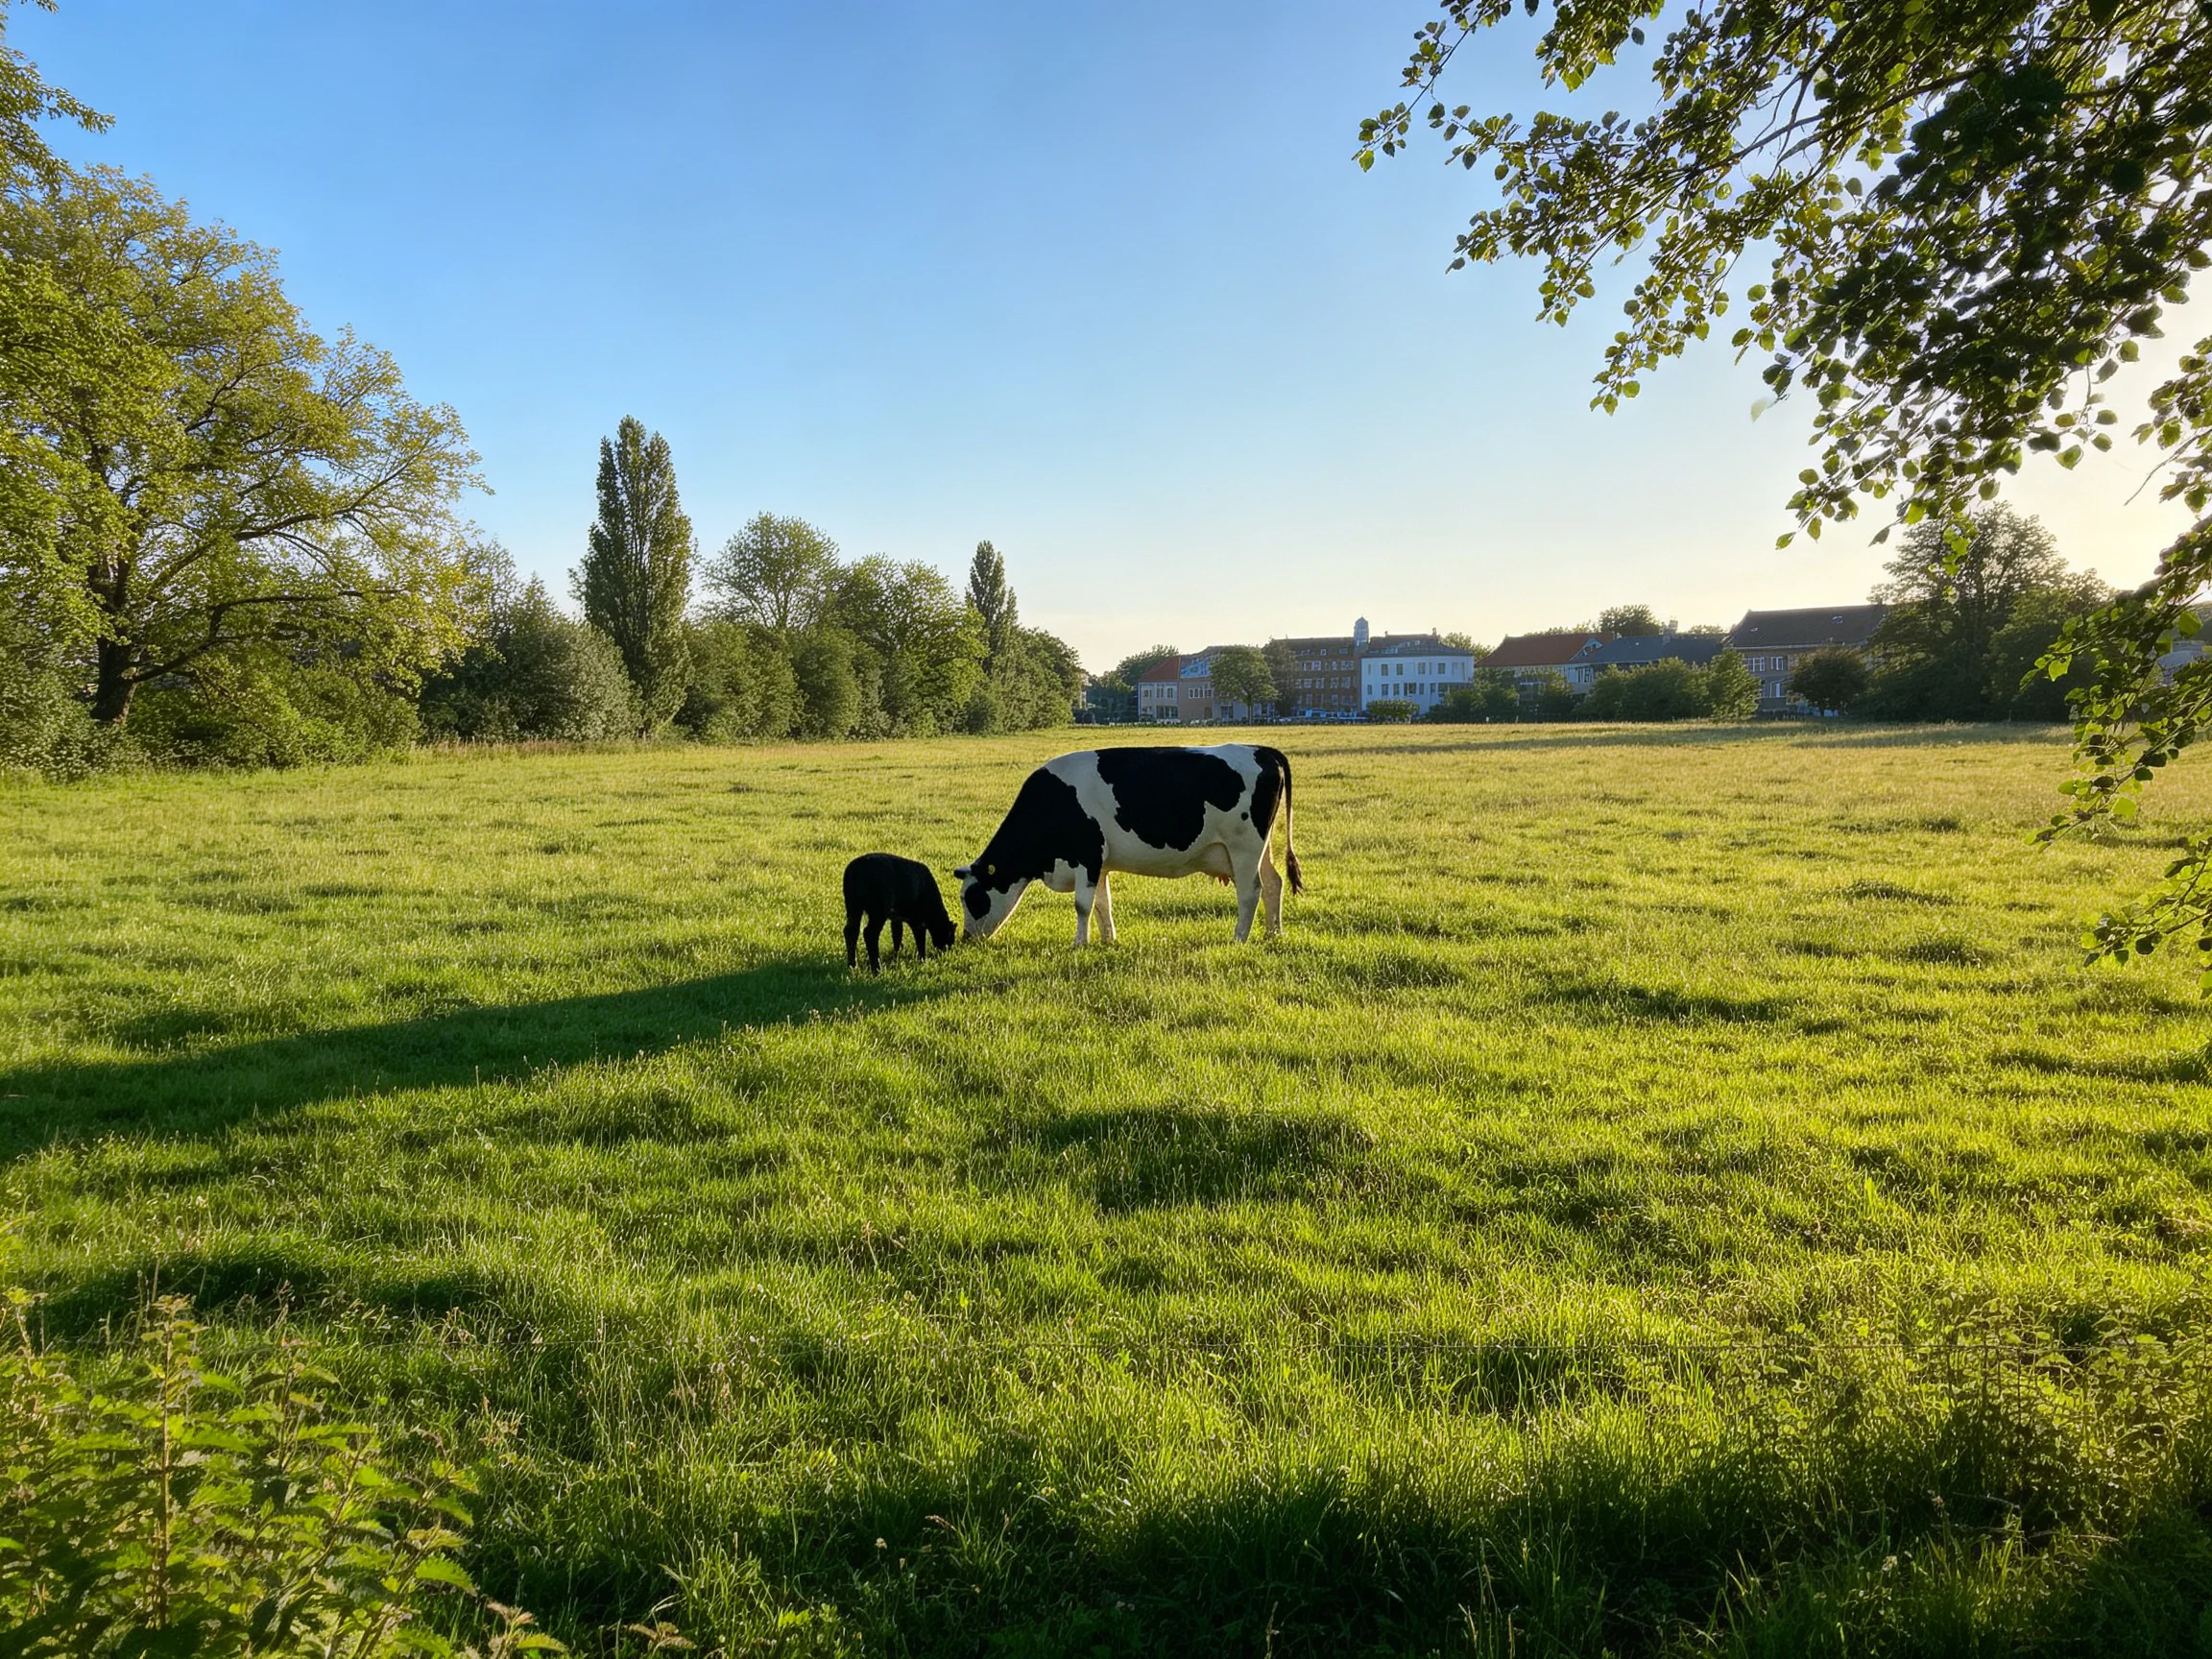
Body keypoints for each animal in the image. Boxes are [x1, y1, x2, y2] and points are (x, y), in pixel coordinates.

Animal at [955, 744, 1302, 946]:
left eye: (973, 898)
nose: (966, 937)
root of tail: (1260, 749)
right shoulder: (1099, 864)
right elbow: (1101, 903)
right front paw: (1108, 941)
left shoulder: (1088, 855)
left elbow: (1082, 905)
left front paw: (1080, 944)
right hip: (1261, 848)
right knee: (1274, 883)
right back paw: (1273, 933)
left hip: (1244, 848)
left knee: (1250, 891)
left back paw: (1240, 937)